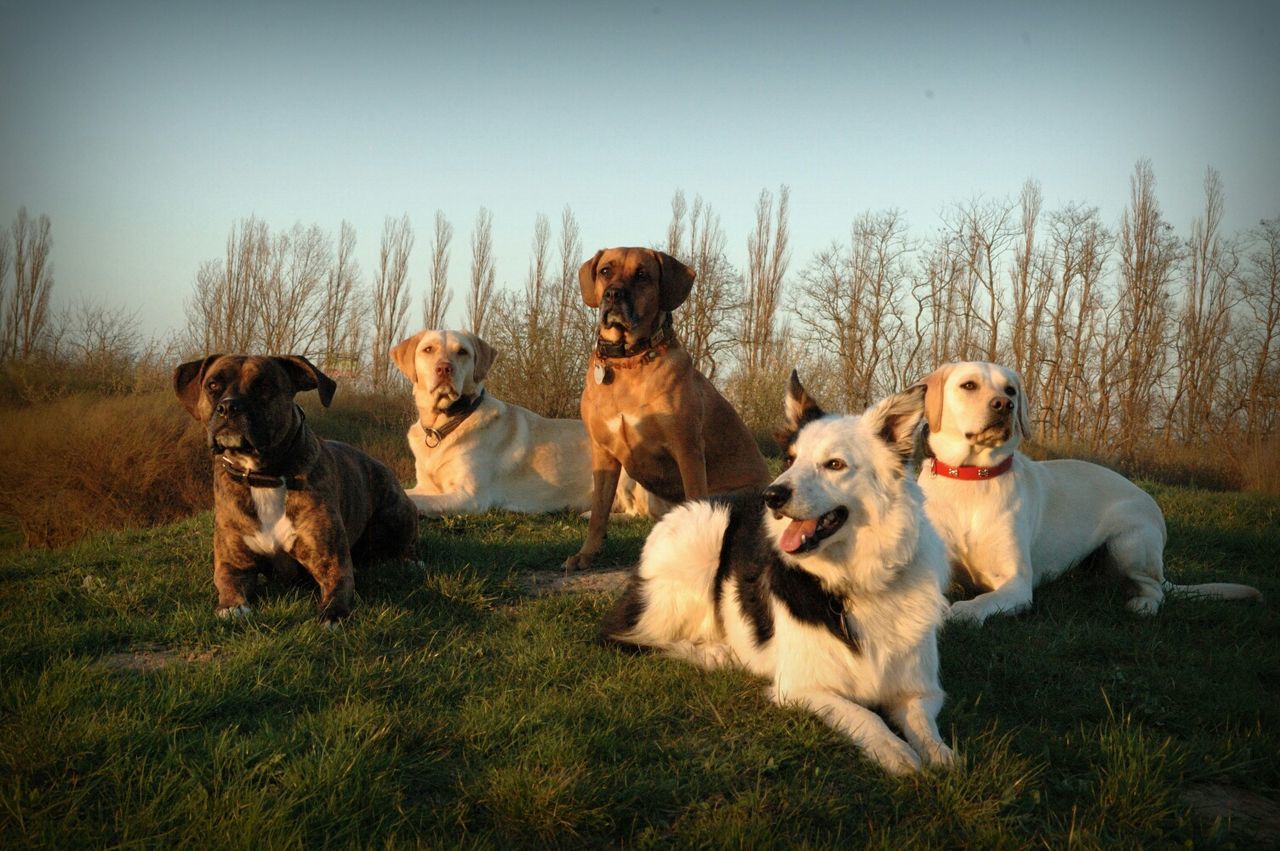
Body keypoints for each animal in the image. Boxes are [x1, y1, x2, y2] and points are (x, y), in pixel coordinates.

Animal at [170, 355, 417, 621]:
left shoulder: (333, 565)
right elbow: (229, 584)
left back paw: (411, 562)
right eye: (213, 385)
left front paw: (331, 615)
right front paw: (231, 607)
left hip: (397, 513)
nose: (228, 407)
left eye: (264, 387)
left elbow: (338, 589)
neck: (264, 475)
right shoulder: (233, 565)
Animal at [563, 245, 768, 568]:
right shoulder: (603, 453)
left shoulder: (687, 448)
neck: (629, 361)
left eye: (642, 275)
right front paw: (586, 554)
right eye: (605, 270)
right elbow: (598, 512)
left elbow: (696, 498)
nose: (613, 295)